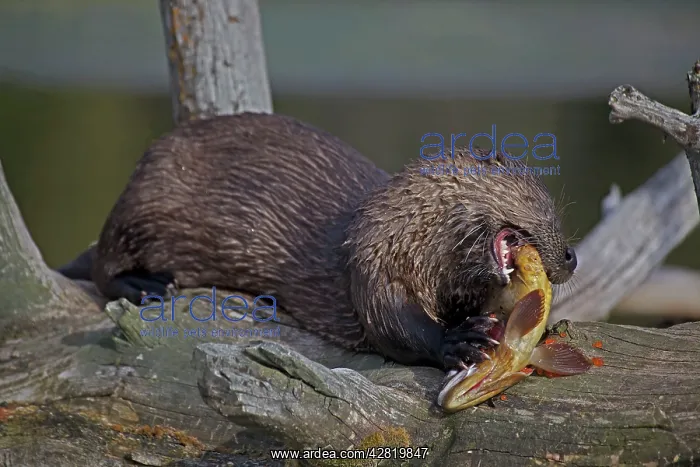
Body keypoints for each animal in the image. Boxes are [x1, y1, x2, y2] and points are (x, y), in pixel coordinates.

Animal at [58, 112, 577, 370]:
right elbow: (392, 325)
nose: (572, 256)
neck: (414, 233)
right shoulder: (375, 260)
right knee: (103, 266)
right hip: (143, 202)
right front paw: (458, 340)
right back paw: (147, 286)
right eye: (549, 212)